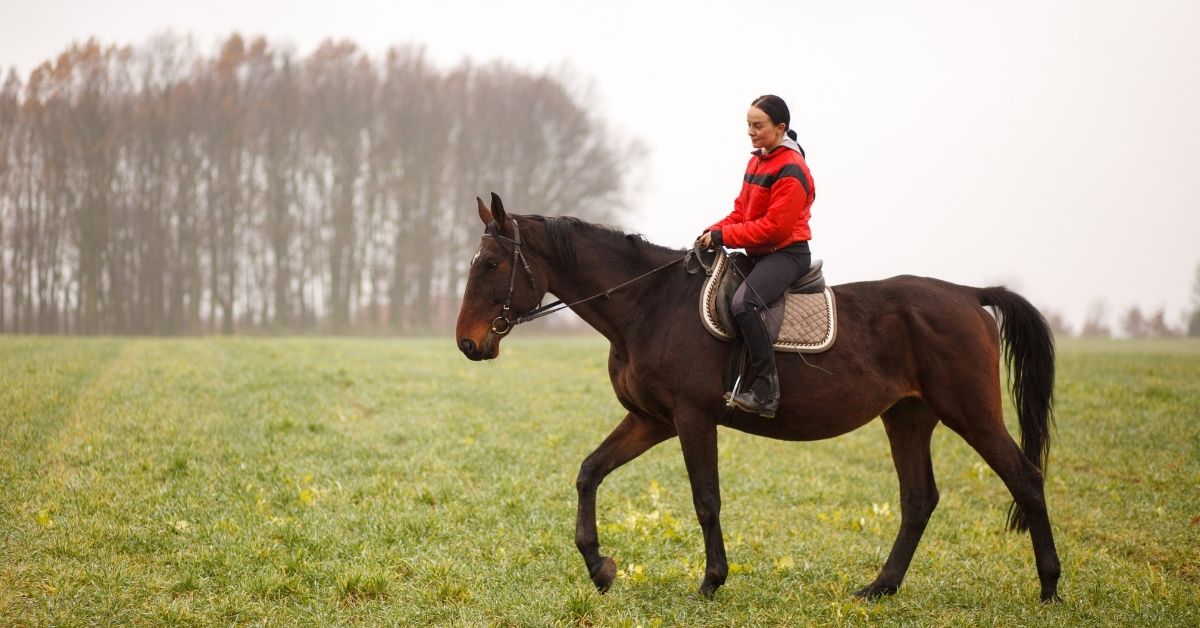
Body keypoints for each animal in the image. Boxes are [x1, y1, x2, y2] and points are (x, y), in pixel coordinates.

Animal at [451, 193, 1060, 605]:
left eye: (491, 264)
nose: (467, 343)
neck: (648, 304)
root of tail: (967, 294)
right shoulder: (651, 419)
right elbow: (589, 471)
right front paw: (600, 567)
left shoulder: (692, 417)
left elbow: (705, 499)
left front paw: (710, 582)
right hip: (907, 417)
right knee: (918, 500)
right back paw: (879, 588)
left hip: (971, 414)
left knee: (1025, 479)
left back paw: (1050, 587)